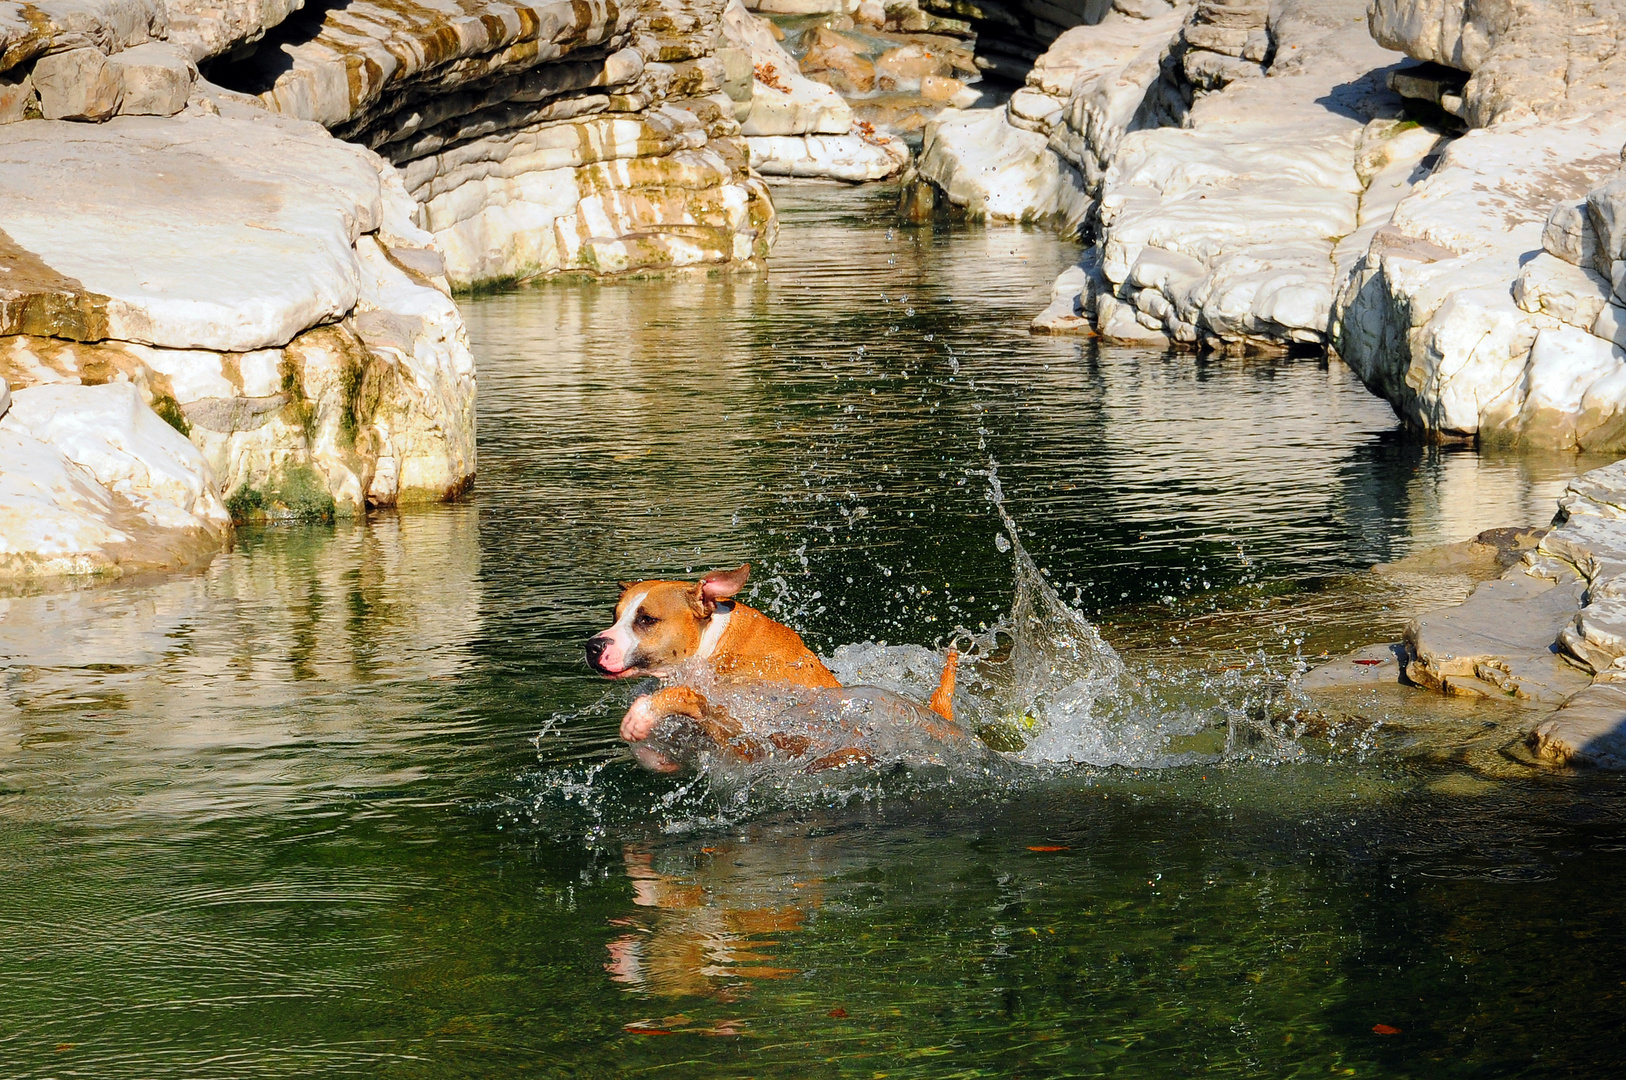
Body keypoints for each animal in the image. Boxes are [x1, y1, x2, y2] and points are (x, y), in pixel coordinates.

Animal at [588, 566, 956, 767]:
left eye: (647, 620)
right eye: (614, 615)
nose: (593, 645)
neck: (715, 643)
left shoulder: (744, 725)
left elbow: (686, 694)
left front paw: (640, 716)